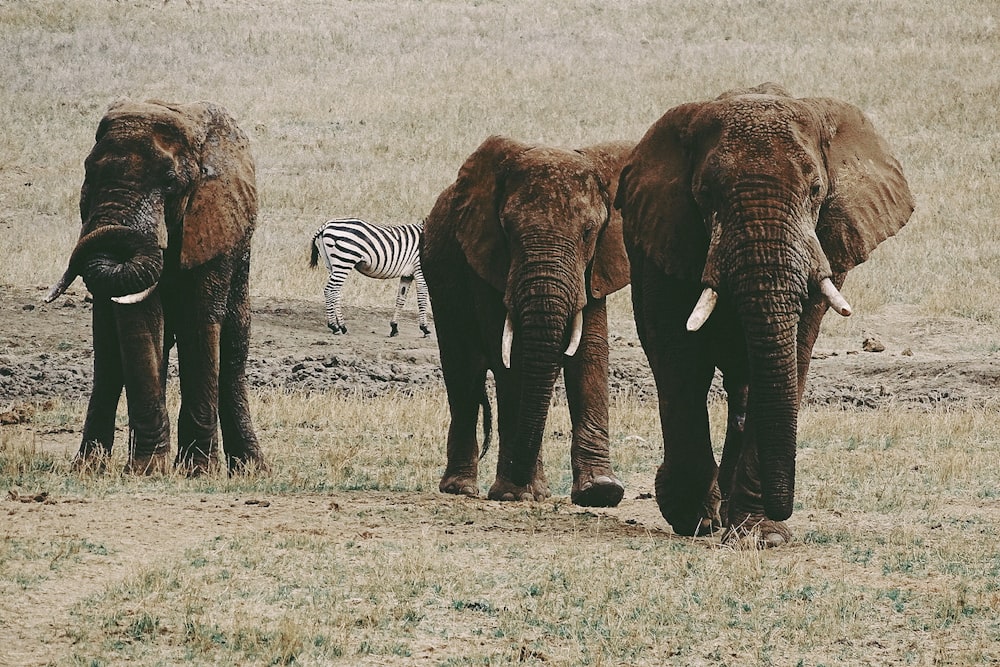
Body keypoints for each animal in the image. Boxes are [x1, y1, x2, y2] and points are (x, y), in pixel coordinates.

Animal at [44, 98, 266, 474]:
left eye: (171, 182)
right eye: (89, 173)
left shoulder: (214, 223)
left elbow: (199, 322)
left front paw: (195, 472)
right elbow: (144, 322)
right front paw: (147, 471)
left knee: (233, 350)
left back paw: (250, 470)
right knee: (109, 354)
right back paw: (87, 468)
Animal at [422, 136, 632, 506]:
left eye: (589, 232)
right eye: (507, 229)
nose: (521, 482)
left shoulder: (597, 266)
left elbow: (589, 351)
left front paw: (602, 491)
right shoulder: (487, 259)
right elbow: (512, 354)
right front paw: (515, 494)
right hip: (440, 276)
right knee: (462, 369)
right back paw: (460, 488)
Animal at [620, 83, 916, 544]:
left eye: (816, 190)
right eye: (706, 194)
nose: (784, 507)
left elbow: (795, 349)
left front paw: (762, 535)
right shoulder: (665, 237)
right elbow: (679, 354)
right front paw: (693, 518)